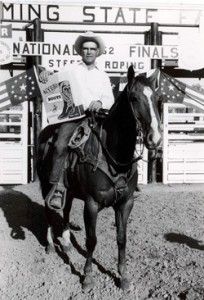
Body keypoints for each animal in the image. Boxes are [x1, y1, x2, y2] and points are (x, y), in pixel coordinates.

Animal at [36, 66, 161, 290]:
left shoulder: (125, 203)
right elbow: (91, 240)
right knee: (49, 210)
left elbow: (122, 238)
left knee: (65, 210)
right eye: (134, 98)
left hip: (68, 190)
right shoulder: (91, 204)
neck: (114, 156)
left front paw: (123, 276)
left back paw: (66, 242)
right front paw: (87, 276)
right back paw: (50, 244)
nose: (155, 138)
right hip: (45, 183)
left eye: (156, 98)